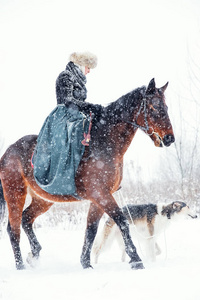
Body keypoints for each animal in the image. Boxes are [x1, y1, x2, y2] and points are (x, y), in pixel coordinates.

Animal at [0, 78, 175, 270]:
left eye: (166, 107)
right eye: (153, 107)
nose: (169, 138)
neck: (105, 144)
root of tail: (8, 152)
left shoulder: (98, 198)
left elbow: (91, 229)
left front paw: (86, 263)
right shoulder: (101, 194)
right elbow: (121, 221)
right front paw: (136, 259)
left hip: (43, 199)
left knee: (26, 219)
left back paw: (34, 254)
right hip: (15, 194)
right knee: (13, 229)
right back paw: (21, 266)